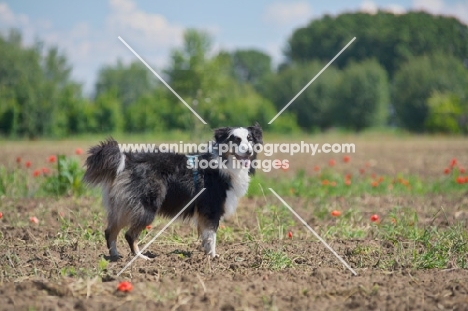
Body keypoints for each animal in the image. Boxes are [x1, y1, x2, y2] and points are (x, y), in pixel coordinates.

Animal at [82, 123, 262, 260]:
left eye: (250, 139)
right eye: (236, 140)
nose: (249, 151)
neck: (223, 162)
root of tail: (127, 160)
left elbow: (205, 235)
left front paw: (206, 254)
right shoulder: (212, 208)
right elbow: (212, 235)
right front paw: (213, 257)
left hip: (122, 205)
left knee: (110, 231)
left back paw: (115, 256)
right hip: (146, 206)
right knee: (129, 234)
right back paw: (140, 257)